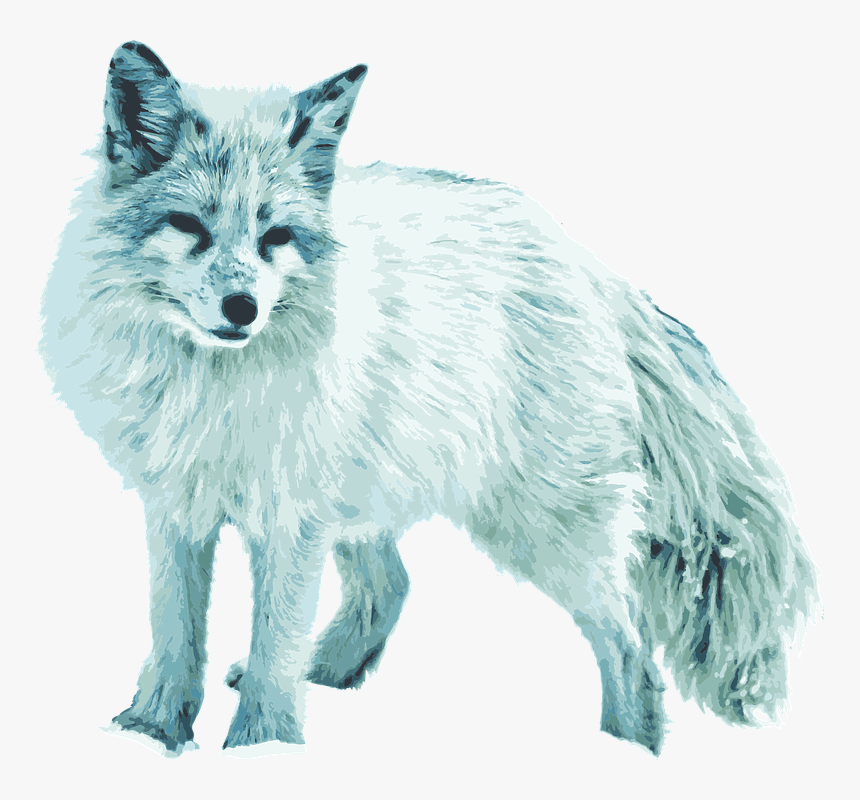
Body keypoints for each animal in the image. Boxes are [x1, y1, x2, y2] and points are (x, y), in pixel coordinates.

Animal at [41, 41, 818, 756]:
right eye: (190, 227)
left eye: (275, 237)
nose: (242, 309)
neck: (213, 389)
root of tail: (586, 263)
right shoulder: (177, 505)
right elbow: (175, 634)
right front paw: (150, 736)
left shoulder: (292, 520)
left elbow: (273, 647)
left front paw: (260, 751)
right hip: (371, 500)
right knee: (392, 587)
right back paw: (331, 674)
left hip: (540, 528)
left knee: (632, 653)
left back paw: (627, 753)